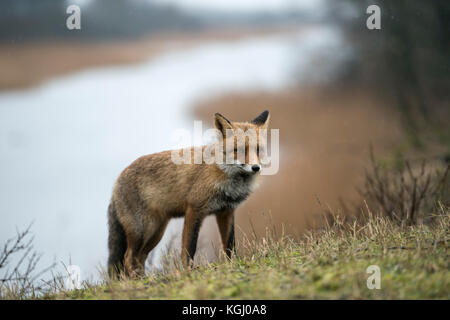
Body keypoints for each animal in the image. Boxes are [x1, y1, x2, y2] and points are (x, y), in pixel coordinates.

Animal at [108, 110, 270, 278]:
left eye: (258, 150)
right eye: (240, 150)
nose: (256, 167)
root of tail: (116, 181)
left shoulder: (226, 211)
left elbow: (229, 245)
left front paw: (232, 264)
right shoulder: (194, 209)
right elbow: (189, 246)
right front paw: (188, 270)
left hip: (155, 232)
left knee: (139, 257)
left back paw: (144, 278)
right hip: (143, 230)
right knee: (128, 257)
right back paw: (137, 279)